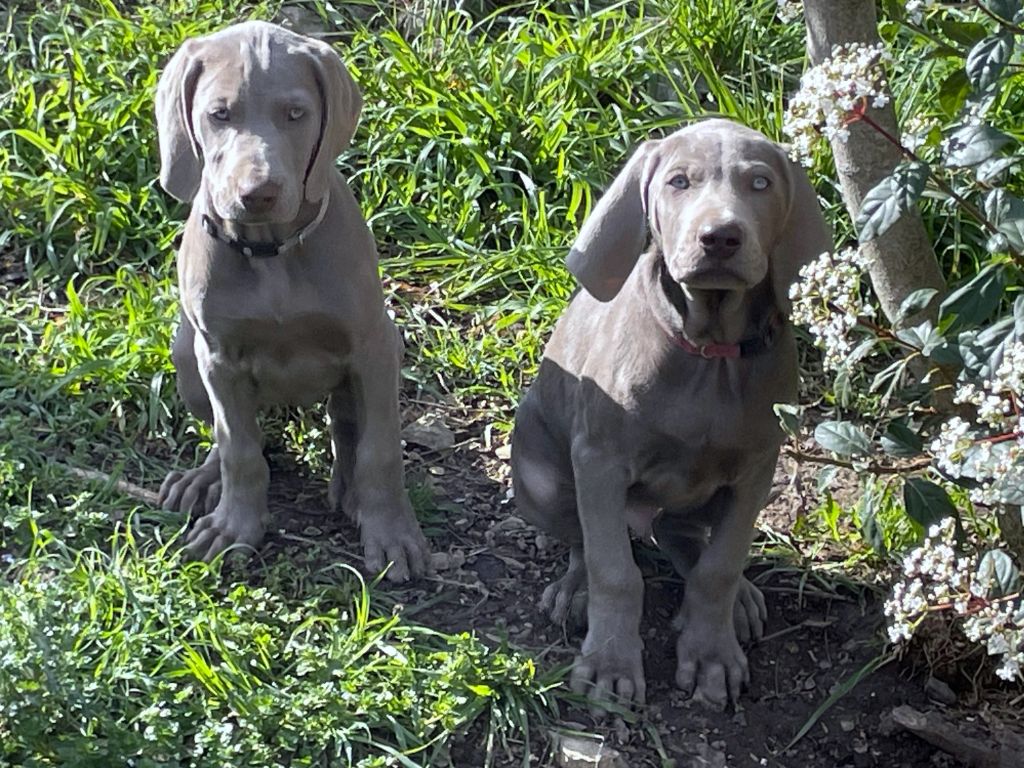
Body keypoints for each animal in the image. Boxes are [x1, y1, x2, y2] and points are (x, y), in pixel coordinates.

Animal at [152, 20, 428, 581]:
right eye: (219, 114)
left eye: (296, 114)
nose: (257, 193)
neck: (270, 251)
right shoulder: (218, 357)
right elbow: (239, 450)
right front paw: (233, 528)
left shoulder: (371, 346)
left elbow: (381, 450)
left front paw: (392, 533)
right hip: (186, 356)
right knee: (228, 433)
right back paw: (202, 480)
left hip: (384, 347)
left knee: (345, 424)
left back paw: (348, 489)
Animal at [512, 118, 831, 708]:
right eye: (679, 181)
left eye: (760, 183)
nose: (720, 237)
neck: (709, 353)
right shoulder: (599, 460)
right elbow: (614, 568)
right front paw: (610, 664)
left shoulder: (756, 471)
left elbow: (719, 567)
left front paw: (710, 655)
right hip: (542, 479)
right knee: (584, 541)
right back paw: (575, 590)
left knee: (681, 537)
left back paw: (741, 599)